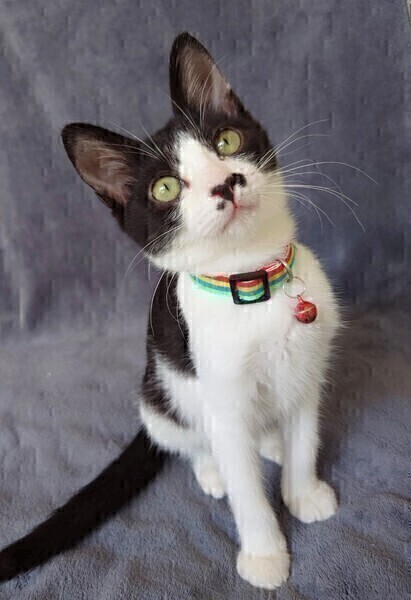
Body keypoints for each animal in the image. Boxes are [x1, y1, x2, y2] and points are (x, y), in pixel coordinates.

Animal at [0, 33, 339, 590]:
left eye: (227, 141)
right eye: (165, 188)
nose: (227, 183)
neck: (253, 281)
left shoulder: (307, 370)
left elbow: (304, 436)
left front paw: (302, 492)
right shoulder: (221, 397)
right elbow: (246, 487)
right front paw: (265, 554)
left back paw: (270, 442)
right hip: (160, 392)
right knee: (189, 437)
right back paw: (213, 469)